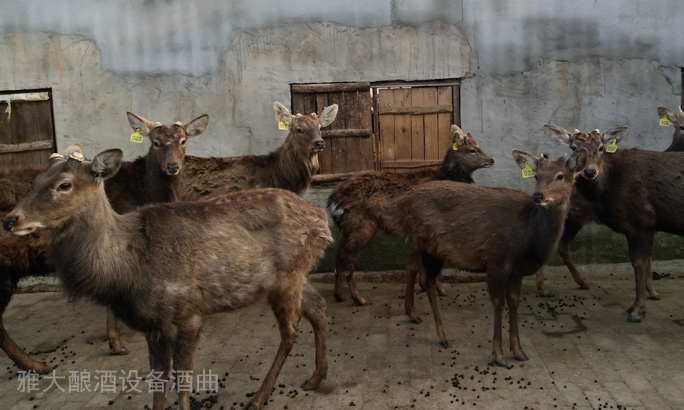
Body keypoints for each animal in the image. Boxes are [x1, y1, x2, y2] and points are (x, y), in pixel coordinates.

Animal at [2, 144, 334, 410]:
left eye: (64, 185)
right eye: (35, 181)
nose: (10, 219)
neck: (127, 269)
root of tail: (322, 219)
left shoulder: (189, 313)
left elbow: (182, 382)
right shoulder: (154, 325)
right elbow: (158, 382)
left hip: (287, 275)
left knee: (290, 330)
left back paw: (260, 396)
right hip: (296, 274)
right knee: (318, 306)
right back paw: (315, 377)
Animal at [326, 126, 492, 306]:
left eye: (479, 146)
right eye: (472, 150)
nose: (491, 160)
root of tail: (332, 201)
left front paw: (425, 285)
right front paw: (439, 289)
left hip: (346, 228)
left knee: (338, 256)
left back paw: (339, 295)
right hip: (362, 225)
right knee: (347, 257)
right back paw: (358, 298)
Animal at [400, 149, 588, 366]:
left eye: (560, 176)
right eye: (536, 175)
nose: (538, 195)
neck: (529, 239)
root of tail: (404, 201)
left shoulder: (517, 271)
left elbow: (514, 303)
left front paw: (519, 351)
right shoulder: (497, 260)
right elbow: (499, 304)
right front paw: (498, 355)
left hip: (424, 245)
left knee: (411, 261)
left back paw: (413, 314)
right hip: (429, 245)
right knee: (429, 281)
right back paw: (443, 336)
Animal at [540, 123, 684, 322]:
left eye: (601, 148)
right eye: (574, 148)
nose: (590, 171)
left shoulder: (642, 221)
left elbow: (641, 261)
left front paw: (638, 308)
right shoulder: (640, 222)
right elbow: (640, 261)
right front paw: (638, 307)